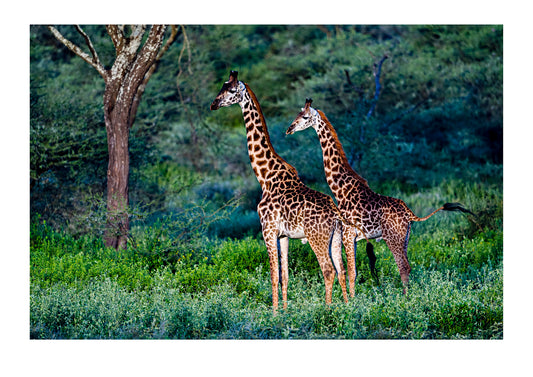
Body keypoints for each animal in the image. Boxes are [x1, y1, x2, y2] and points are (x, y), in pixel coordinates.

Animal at [210, 71, 352, 312]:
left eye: (231, 90)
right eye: (222, 87)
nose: (214, 104)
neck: (264, 176)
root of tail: (335, 215)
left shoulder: (267, 230)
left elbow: (273, 275)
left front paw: (274, 314)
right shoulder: (284, 235)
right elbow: (285, 276)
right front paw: (285, 312)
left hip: (316, 237)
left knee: (328, 270)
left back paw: (327, 311)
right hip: (335, 238)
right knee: (341, 270)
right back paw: (349, 307)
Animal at [286, 99, 474, 294]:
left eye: (305, 117)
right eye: (297, 115)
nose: (289, 129)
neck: (340, 190)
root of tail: (410, 214)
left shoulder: (347, 235)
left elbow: (351, 272)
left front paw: (352, 301)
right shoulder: (353, 238)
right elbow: (353, 272)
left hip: (393, 237)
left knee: (403, 267)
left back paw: (406, 299)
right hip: (405, 237)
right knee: (408, 267)